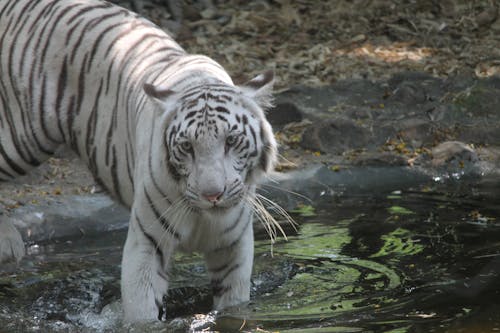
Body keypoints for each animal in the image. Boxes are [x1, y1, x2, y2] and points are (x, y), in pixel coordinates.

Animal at [0, 0, 278, 322]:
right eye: (187, 147)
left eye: (231, 141)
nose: (212, 195)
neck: (203, 217)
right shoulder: (146, 242)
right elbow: (141, 308)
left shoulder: (233, 247)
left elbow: (234, 304)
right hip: (23, 137)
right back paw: (9, 242)